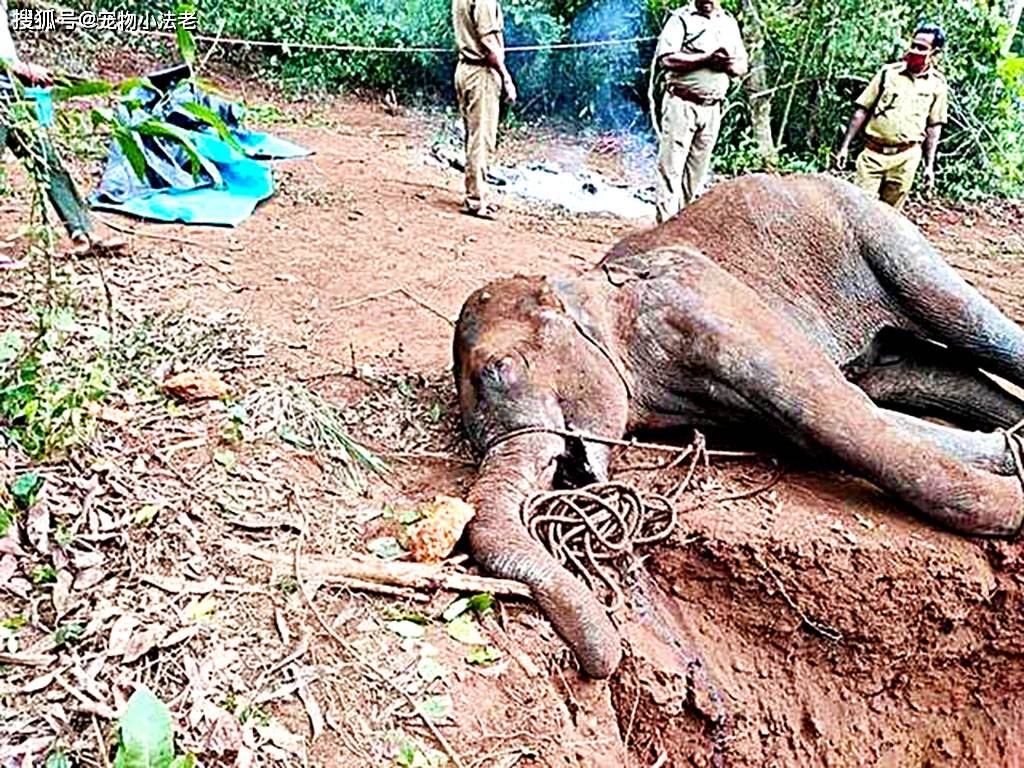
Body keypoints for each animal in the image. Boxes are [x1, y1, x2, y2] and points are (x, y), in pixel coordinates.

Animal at [452, 174, 1024, 679]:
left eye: (498, 369)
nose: (605, 658)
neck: (588, 288)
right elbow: (825, 426)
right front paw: (1010, 456)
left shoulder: (695, 297)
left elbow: (828, 410)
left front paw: (1017, 502)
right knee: (923, 373)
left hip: (874, 228)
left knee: (969, 324)